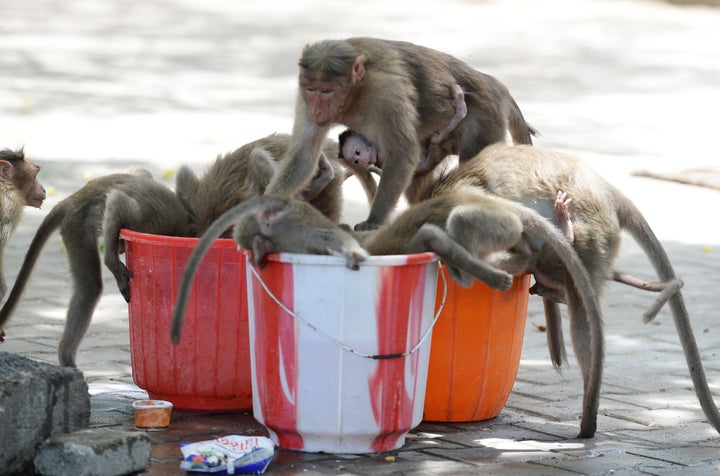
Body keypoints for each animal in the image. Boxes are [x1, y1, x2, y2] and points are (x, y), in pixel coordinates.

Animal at [0, 171, 194, 368]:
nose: (121, 247)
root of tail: (71, 199)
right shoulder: (145, 222)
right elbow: (117, 199)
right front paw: (112, 263)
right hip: (76, 228)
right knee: (90, 287)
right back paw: (66, 359)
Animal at [170, 195, 372, 344]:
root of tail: (285, 202)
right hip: (301, 224)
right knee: (330, 236)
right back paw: (355, 254)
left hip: (261, 230)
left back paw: (260, 247)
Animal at [264, 36, 536, 231]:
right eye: (311, 89)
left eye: (326, 91)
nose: (317, 109)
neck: (355, 94)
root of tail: (492, 83)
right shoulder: (303, 98)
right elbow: (303, 154)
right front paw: (261, 208)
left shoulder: (386, 93)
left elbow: (402, 152)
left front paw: (374, 220)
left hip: (484, 119)